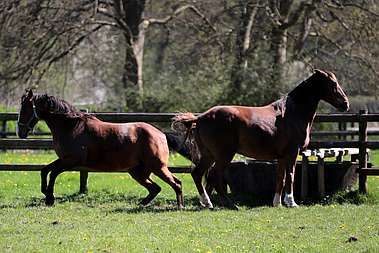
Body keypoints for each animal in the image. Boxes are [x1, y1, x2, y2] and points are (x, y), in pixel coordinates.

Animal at [17, 90, 184, 209]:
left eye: (25, 109)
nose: (20, 132)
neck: (71, 126)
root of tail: (161, 134)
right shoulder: (64, 159)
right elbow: (44, 170)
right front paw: (46, 193)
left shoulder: (71, 161)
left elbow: (52, 174)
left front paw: (50, 198)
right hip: (138, 172)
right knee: (155, 188)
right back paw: (142, 204)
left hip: (158, 167)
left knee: (176, 183)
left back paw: (179, 206)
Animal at [172, 69, 350, 210]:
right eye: (333, 84)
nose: (346, 104)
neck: (292, 113)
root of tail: (201, 117)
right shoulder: (292, 154)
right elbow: (291, 176)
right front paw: (291, 202)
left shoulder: (281, 157)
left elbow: (281, 178)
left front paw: (277, 203)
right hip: (223, 155)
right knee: (214, 176)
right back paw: (230, 205)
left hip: (209, 155)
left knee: (198, 174)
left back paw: (207, 203)